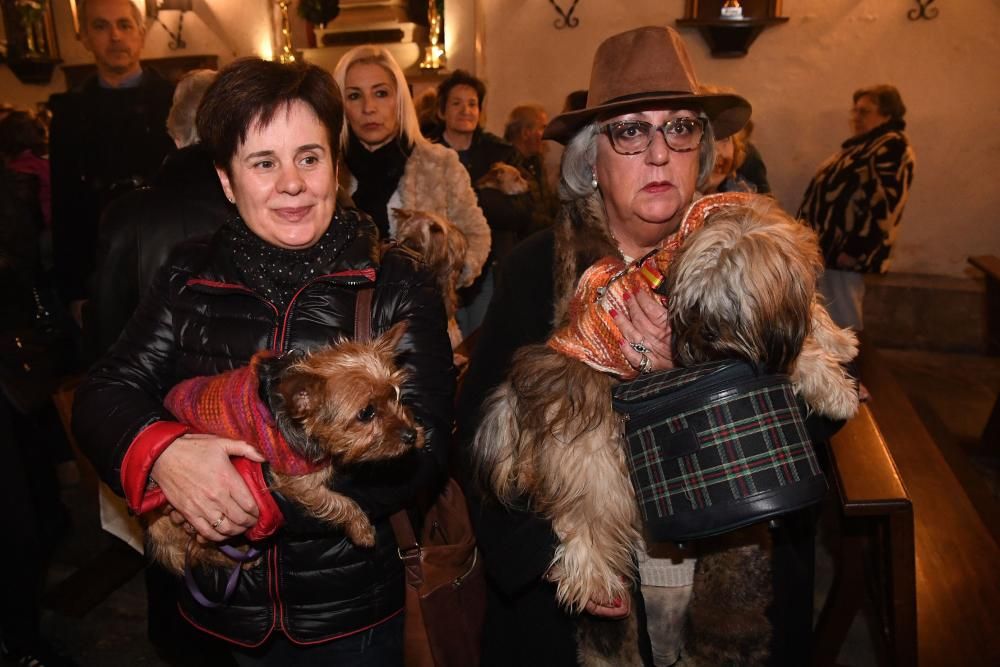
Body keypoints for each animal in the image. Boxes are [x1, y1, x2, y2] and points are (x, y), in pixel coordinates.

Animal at [147, 324, 422, 576]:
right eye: (366, 413)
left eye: (396, 395)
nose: (412, 435)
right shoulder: (294, 479)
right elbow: (337, 501)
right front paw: (361, 528)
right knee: (199, 550)